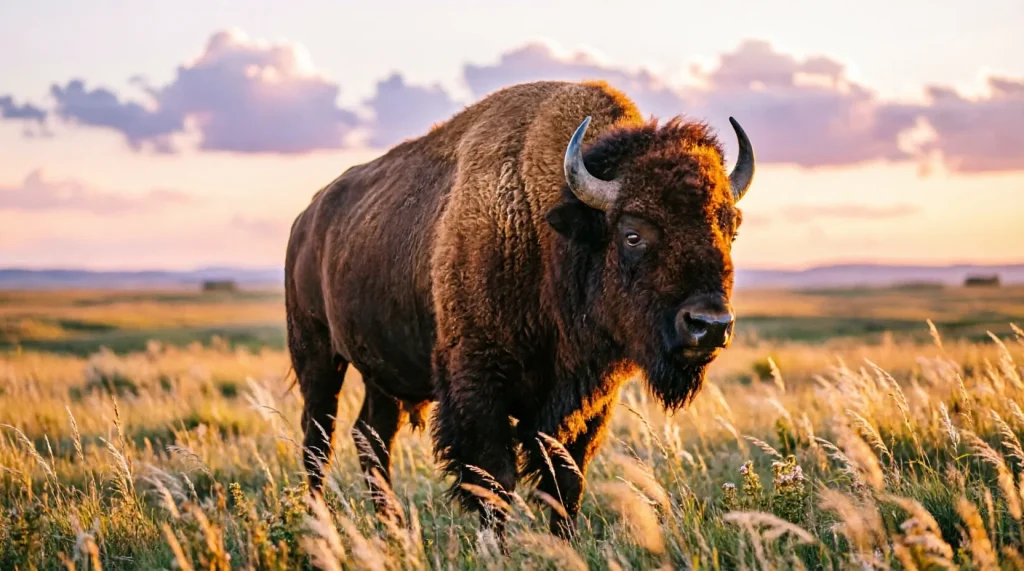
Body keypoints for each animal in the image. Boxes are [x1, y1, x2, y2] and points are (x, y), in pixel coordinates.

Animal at [284, 79, 756, 538]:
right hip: (316, 355)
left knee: (371, 437)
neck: (550, 233)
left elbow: (566, 481)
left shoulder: (588, 402)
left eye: (730, 230)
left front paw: (565, 545)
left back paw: (393, 528)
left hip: (383, 375)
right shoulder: (478, 386)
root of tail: (306, 220)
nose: (710, 325)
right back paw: (319, 522)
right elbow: (495, 481)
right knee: (318, 440)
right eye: (633, 233)